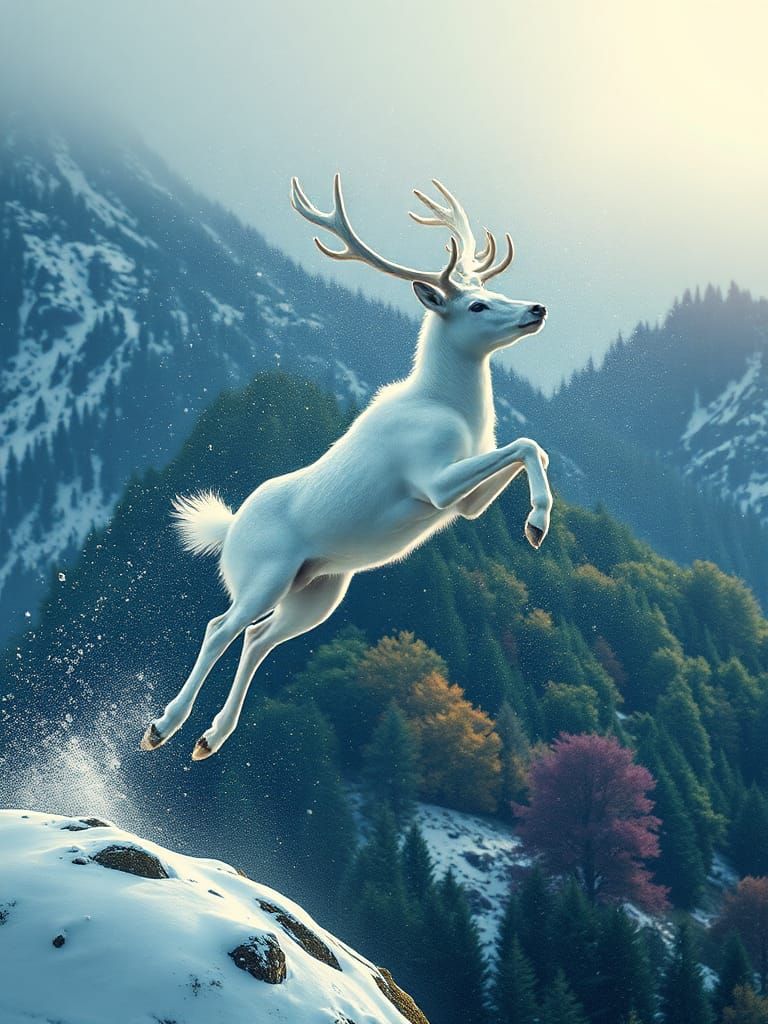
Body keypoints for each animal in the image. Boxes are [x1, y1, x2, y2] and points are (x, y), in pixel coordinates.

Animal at [140, 175, 552, 761]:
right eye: (476, 305)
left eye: (495, 294)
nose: (536, 308)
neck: (452, 409)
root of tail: (228, 529)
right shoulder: (432, 479)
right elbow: (523, 442)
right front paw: (537, 521)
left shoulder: (467, 504)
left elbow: (530, 448)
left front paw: (536, 524)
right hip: (264, 572)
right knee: (221, 626)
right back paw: (163, 726)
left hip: (317, 590)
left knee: (257, 638)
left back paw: (209, 738)